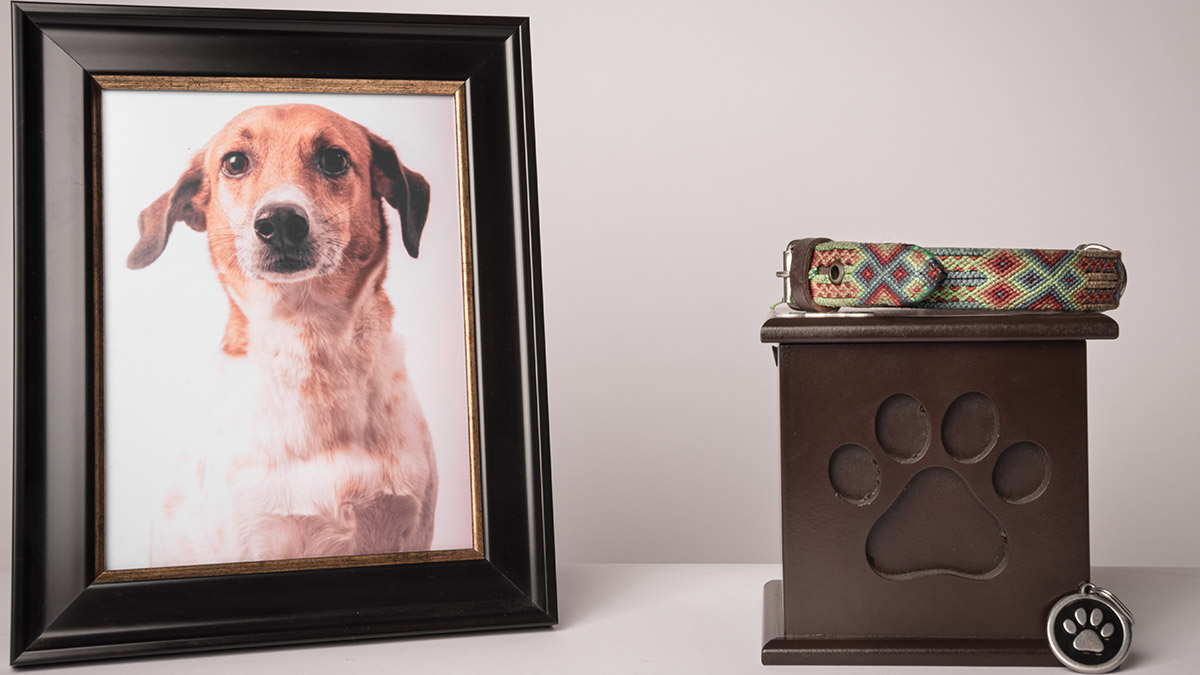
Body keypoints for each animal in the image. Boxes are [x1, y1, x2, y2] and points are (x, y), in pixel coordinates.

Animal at [129, 102, 436, 564]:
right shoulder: (253, 540)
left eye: (334, 159)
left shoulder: (412, 530)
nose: (280, 221)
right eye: (234, 162)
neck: (310, 347)